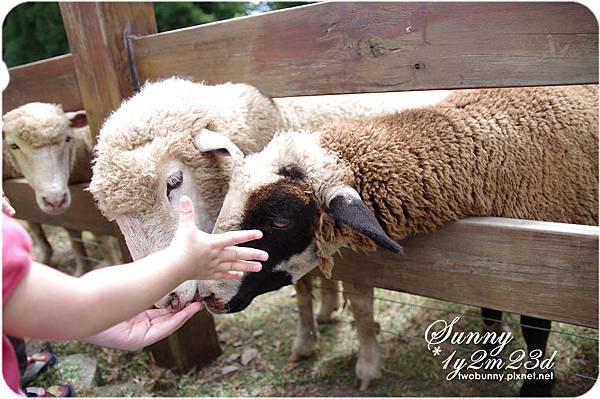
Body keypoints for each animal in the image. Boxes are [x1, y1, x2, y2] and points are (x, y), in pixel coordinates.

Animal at [2, 102, 122, 276]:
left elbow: (102, 240)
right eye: (13, 145)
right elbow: (71, 235)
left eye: (68, 138)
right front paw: (81, 269)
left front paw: (112, 264)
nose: (55, 200)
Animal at [196, 85, 596, 394]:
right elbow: (490, 305)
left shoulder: (536, 264)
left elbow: (535, 329)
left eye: (280, 220)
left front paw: (535, 385)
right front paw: (491, 349)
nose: (206, 295)